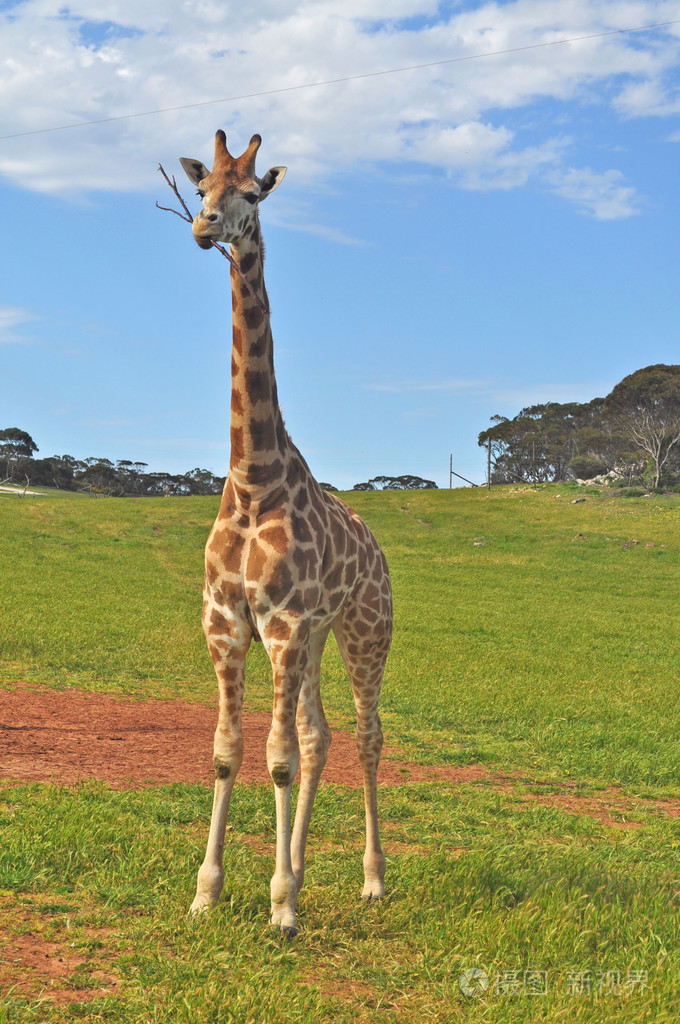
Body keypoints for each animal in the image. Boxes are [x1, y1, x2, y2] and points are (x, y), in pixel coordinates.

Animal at [180, 130, 393, 937]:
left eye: (252, 192)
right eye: (203, 185)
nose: (203, 226)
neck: (253, 477)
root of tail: (379, 551)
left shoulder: (283, 624)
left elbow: (272, 757)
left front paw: (280, 909)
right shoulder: (230, 622)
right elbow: (229, 750)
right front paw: (208, 893)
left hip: (363, 630)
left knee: (364, 734)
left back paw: (370, 880)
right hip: (318, 638)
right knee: (318, 735)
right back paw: (301, 870)